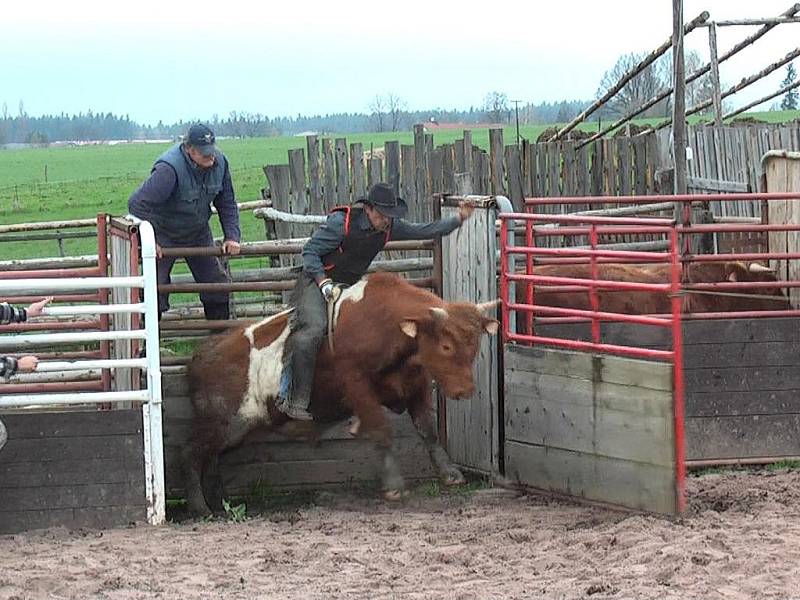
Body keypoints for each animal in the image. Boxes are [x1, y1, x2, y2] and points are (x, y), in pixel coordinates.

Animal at [184, 274, 496, 512]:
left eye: (475, 344)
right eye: (446, 345)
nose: (466, 390)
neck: (383, 325)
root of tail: (202, 354)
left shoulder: (416, 385)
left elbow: (427, 431)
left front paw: (450, 474)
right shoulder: (357, 386)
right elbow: (381, 431)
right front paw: (394, 486)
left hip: (234, 430)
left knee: (212, 460)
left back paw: (218, 503)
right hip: (221, 423)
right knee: (192, 455)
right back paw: (199, 507)